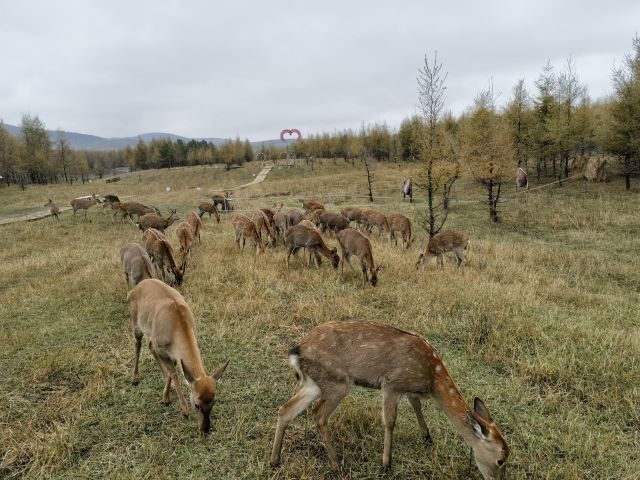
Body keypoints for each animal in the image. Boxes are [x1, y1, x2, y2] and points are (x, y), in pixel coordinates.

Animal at [128, 278, 229, 434]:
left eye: (214, 401)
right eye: (196, 404)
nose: (205, 429)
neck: (177, 326)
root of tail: (137, 286)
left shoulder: (174, 354)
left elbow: (172, 370)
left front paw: (166, 395)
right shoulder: (161, 347)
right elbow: (174, 374)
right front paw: (182, 409)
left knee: (150, 346)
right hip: (136, 325)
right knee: (138, 344)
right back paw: (135, 378)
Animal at [270, 320, 509, 479]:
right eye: (501, 459)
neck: (431, 379)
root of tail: (296, 350)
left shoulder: (409, 389)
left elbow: (416, 406)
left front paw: (427, 438)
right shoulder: (392, 383)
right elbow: (390, 421)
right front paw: (386, 464)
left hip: (313, 383)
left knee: (285, 409)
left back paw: (274, 461)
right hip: (338, 382)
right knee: (318, 415)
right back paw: (337, 465)